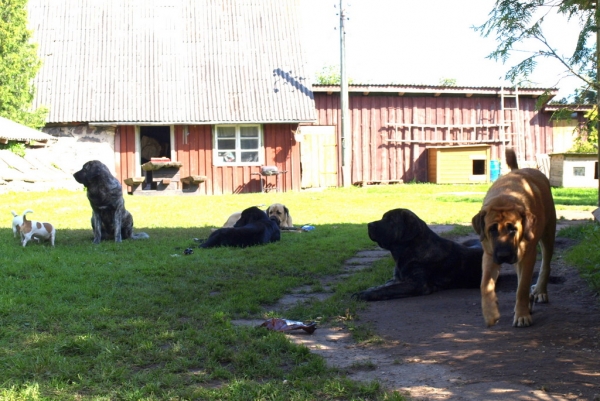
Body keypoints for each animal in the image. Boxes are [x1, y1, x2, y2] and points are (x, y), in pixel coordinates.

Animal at [354, 209, 486, 300]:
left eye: (390, 220)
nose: (369, 224)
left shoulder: (416, 283)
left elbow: (388, 289)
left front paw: (365, 294)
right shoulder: (397, 279)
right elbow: (383, 285)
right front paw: (369, 289)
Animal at [472, 148, 556, 326]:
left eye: (513, 229)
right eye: (492, 230)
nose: (504, 255)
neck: (505, 197)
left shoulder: (529, 255)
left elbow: (522, 287)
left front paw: (522, 314)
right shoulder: (489, 254)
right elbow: (485, 284)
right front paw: (490, 313)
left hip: (548, 234)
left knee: (545, 265)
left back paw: (539, 291)